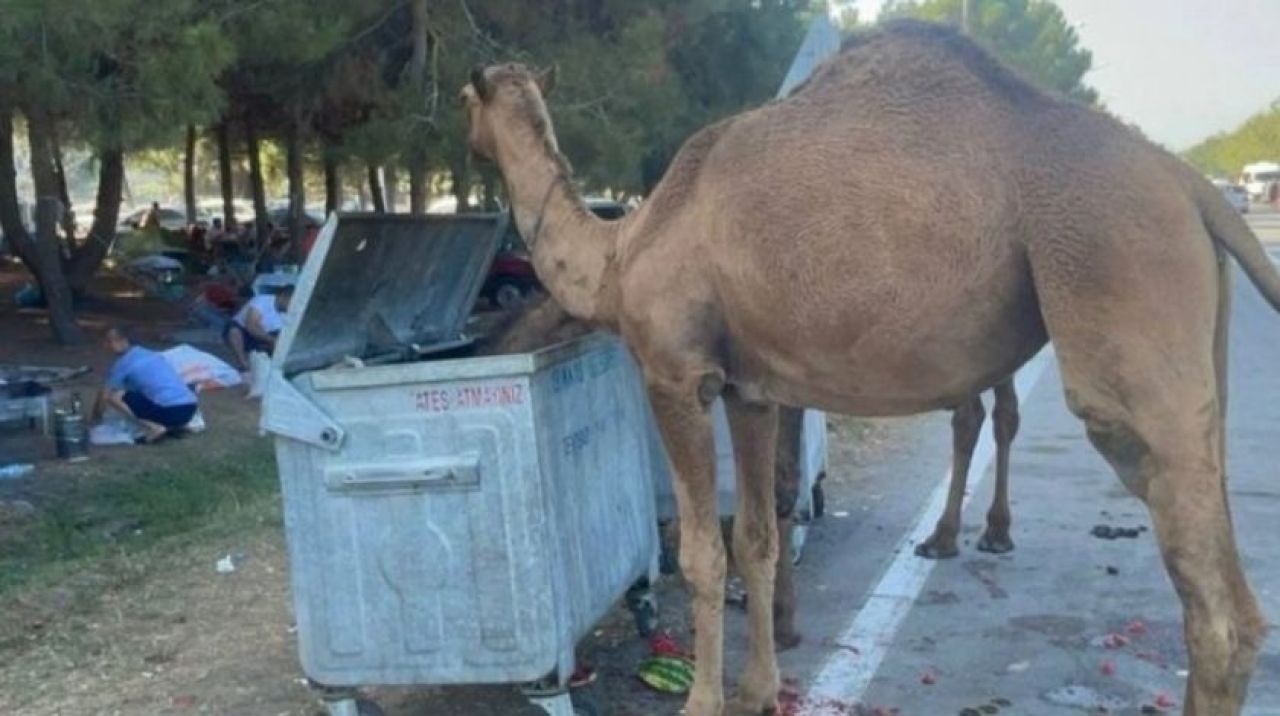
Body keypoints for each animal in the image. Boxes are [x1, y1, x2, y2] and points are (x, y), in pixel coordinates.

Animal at [463, 20, 1280, 716]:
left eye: (469, 99)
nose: (465, 144)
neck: (621, 249)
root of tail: (1191, 184)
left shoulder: (675, 373)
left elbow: (702, 553)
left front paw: (702, 700)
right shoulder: (749, 391)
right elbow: (754, 540)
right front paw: (759, 690)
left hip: (1114, 272)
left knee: (1215, 606)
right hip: (1192, 338)